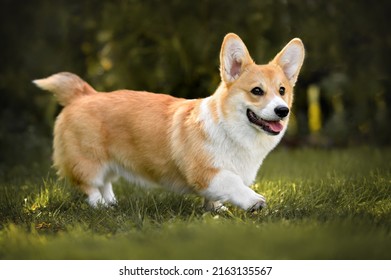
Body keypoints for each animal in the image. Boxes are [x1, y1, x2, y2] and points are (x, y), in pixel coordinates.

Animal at [33, 32, 304, 211]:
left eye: (282, 90)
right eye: (257, 91)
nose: (283, 111)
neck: (233, 131)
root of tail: (83, 94)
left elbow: (217, 196)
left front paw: (216, 209)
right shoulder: (206, 172)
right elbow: (233, 182)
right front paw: (253, 200)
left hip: (109, 162)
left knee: (106, 183)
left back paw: (111, 203)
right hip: (89, 161)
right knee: (90, 185)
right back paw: (99, 205)